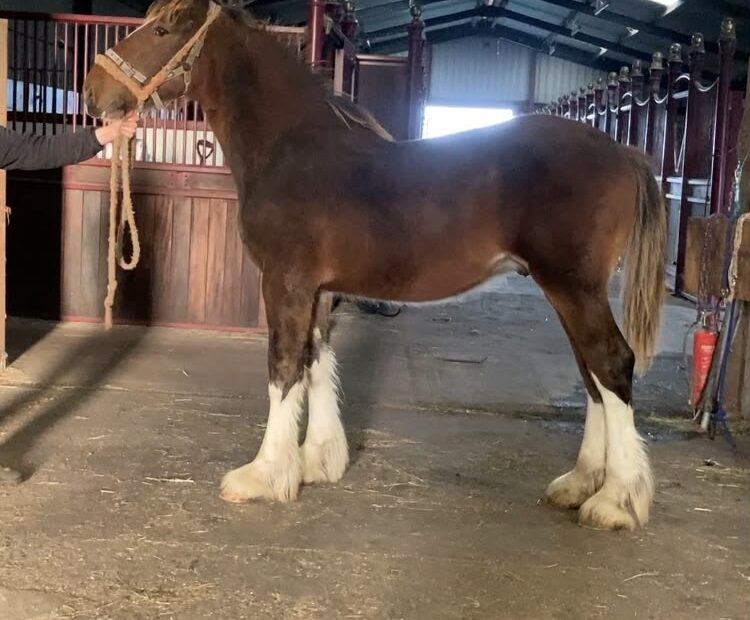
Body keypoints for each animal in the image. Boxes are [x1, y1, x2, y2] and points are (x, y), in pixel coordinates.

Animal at [84, 0, 667, 531]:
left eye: (162, 30)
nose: (92, 91)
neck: (292, 150)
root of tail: (625, 154)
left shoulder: (285, 282)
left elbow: (283, 368)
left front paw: (263, 476)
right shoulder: (317, 290)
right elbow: (315, 362)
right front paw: (316, 463)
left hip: (573, 286)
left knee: (612, 363)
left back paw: (616, 501)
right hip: (569, 291)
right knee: (591, 374)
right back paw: (580, 483)